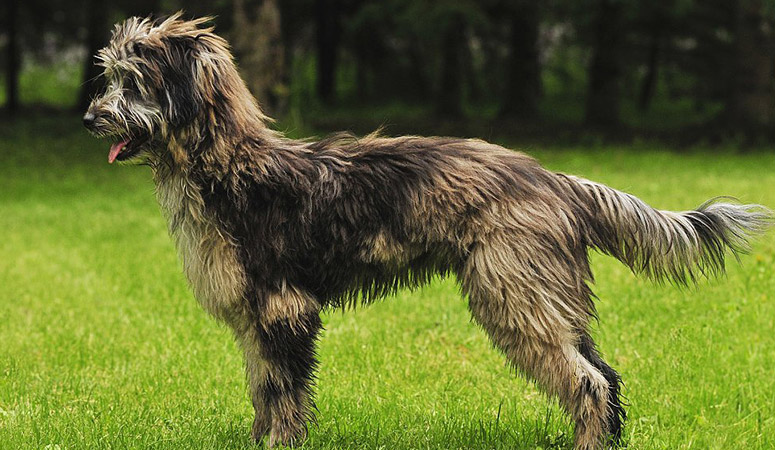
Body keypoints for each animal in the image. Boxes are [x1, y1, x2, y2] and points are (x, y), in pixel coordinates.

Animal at [82, 13, 772, 446]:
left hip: (516, 294)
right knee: (605, 371)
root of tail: (549, 177)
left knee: (589, 380)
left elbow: (282, 392)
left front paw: (278, 443)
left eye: (134, 83)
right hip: (546, 296)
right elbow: (262, 389)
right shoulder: (254, 317)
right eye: (109, 77)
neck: (225, 167)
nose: (90, 117)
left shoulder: (282, 308)